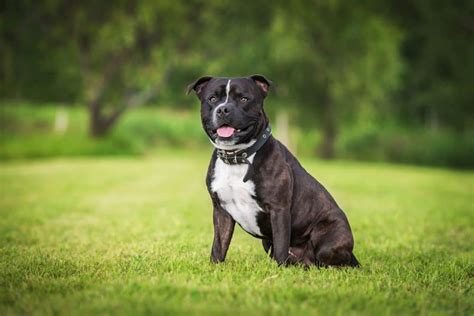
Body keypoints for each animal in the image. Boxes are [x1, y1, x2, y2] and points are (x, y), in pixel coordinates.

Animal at [187, 74, 358, 266]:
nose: (223, 109)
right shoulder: (221, 211)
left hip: (330, 236)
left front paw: (280, 269)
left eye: (244, 99)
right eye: (212, 99)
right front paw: (215, 266)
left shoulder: (279, 209)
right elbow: (219, 245)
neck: (238, 157)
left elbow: (281, 245)